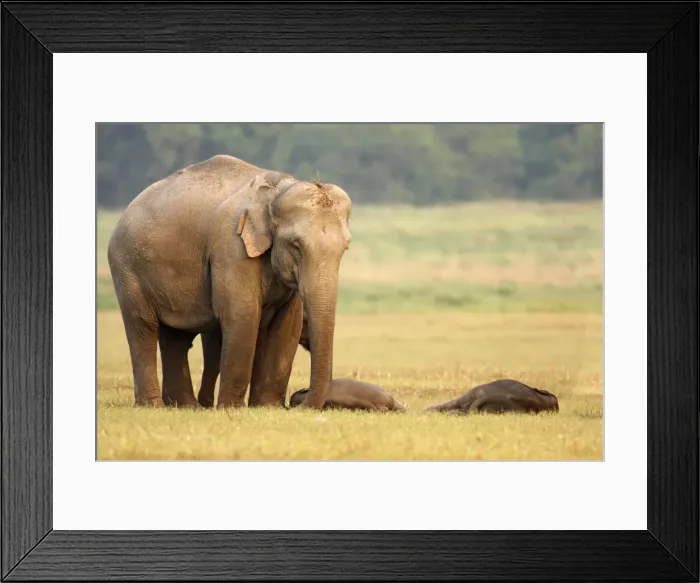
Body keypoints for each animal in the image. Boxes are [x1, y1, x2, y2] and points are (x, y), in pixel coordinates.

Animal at [108, 154, 352, 409]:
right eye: (295, 245)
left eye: (345, 247)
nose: (297, 401)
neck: (277, 189)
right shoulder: (231, 248)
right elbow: (242, 314)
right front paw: (232, 407)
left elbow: (287, 324)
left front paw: (268, 407)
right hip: (127, 267)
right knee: (142, 328)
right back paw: (153, 405)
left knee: (176, 337)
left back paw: (186, 406)